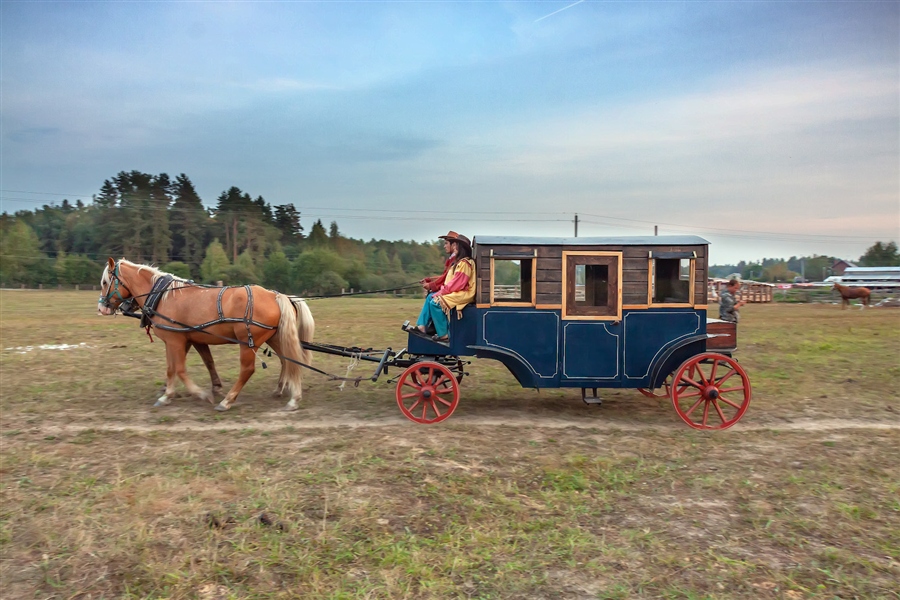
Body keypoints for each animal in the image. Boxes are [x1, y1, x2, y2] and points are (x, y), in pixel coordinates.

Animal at [97, 258, 314, 412]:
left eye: (105, 282)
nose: (101, 308)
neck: (163, 296)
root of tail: (275, 295)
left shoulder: (175, 340)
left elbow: (179, 369)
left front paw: (201, 394)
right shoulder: (186, 339)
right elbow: (175, 368)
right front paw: (168, 394)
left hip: (248, 342)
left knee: (248, 370)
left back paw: (227, 401)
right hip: (274, 337)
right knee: (289, 361)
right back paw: (291, 396)